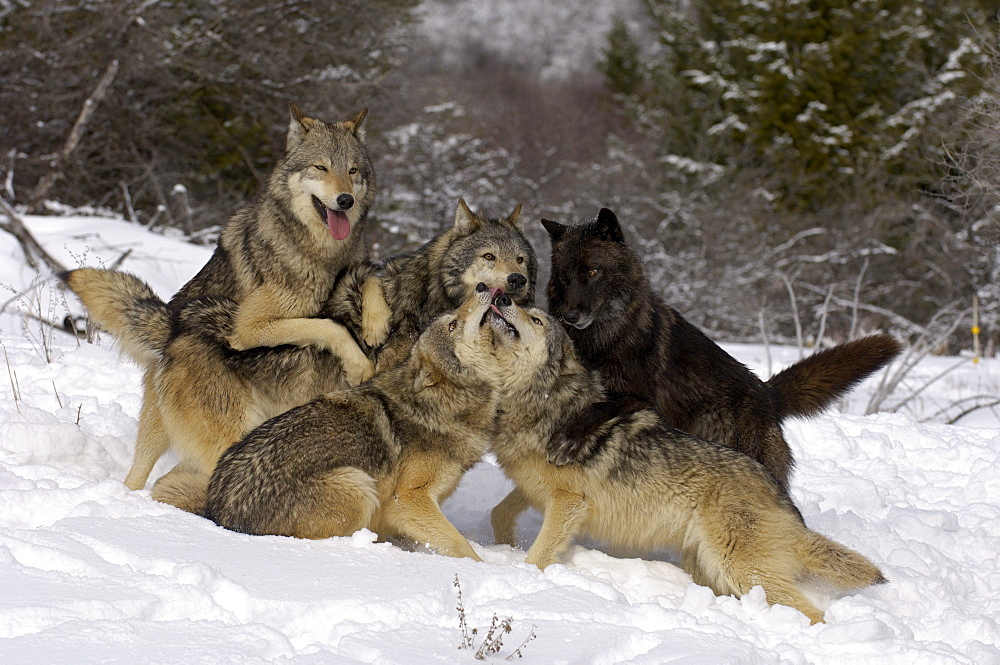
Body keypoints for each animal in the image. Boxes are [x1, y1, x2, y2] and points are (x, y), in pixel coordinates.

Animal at [60, 104, 384, 510]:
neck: (324, 255)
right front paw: (358, 362)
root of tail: (171, 322)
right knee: (142, 475)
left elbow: (371, 278)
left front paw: (377, 323)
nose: (345, 200)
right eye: (321, 168)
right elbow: (328, 326)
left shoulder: (357, 265)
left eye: (353, 171)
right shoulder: (249, 328)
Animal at [204, 282, 516, 556]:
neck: (449, 401)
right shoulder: (407, 499)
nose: (482, 287)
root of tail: (217, 515)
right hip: (359, 485)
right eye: (452, 325)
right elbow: (462, 548)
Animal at [488, 292, 888, 624]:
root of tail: (782, 495)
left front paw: (521, 576)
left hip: (741, 569)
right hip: (712, 569)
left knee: (813, 612)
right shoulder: (535, 489)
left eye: (536, 319)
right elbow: (498, 513)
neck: (543, 404)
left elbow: (538, 555)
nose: (501, 296)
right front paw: (503, 546)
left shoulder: (569, 502)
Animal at [544, 209, 904, 492]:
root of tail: (767, 393)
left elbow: (598, 407)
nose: (569, 316)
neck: (606, 335)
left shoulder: (639, 399)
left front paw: (568, 439)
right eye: (563, 277)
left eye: (592, 272)